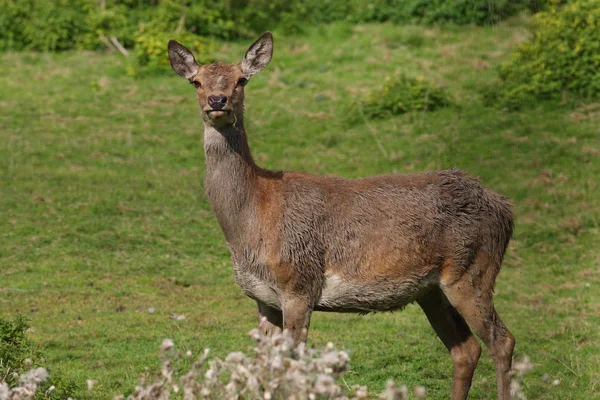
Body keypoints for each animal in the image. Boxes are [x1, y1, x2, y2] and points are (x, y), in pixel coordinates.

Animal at [168, 32, 516, 400]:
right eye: (196, 81)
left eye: (241, 79)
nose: (217, 100)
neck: (251, 221)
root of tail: (505, 208)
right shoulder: (263, 299)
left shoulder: (299, 284)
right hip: (432, 290)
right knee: (466, 350)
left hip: (473, 271)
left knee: (502, 341)